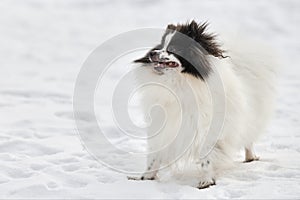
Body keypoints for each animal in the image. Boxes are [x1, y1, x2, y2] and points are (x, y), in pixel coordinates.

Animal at [131, 20, 276, 189]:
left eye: (173, 49)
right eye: (160, 46)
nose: (152, 54)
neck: (180, 82)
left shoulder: (208, 127)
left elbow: (206, 157)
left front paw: (206, 182)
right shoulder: (163, 125)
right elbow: (154, 155)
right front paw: (145, 178)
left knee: (248, 138)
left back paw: (250, 157)